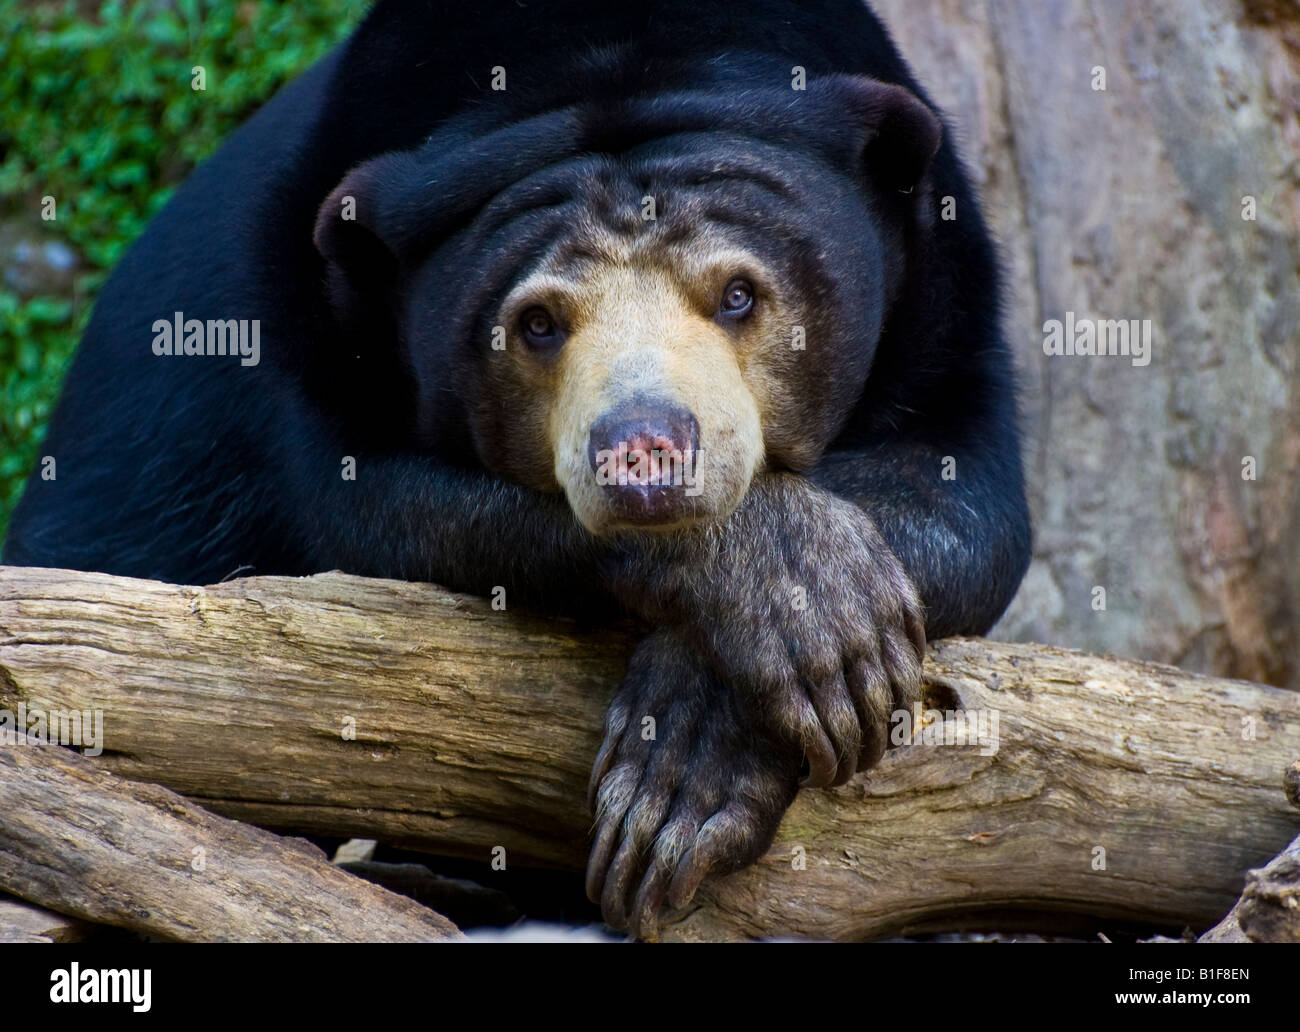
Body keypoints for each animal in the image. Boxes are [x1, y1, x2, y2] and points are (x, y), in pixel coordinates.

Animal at [5, 0, 1029, 930]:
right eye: (536, 323)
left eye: (740, 294)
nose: (645, 451)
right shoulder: (308, 325)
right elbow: (380, 515)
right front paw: (782, 589)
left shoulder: (948, 291)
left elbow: (970, 508)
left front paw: (697, 762)